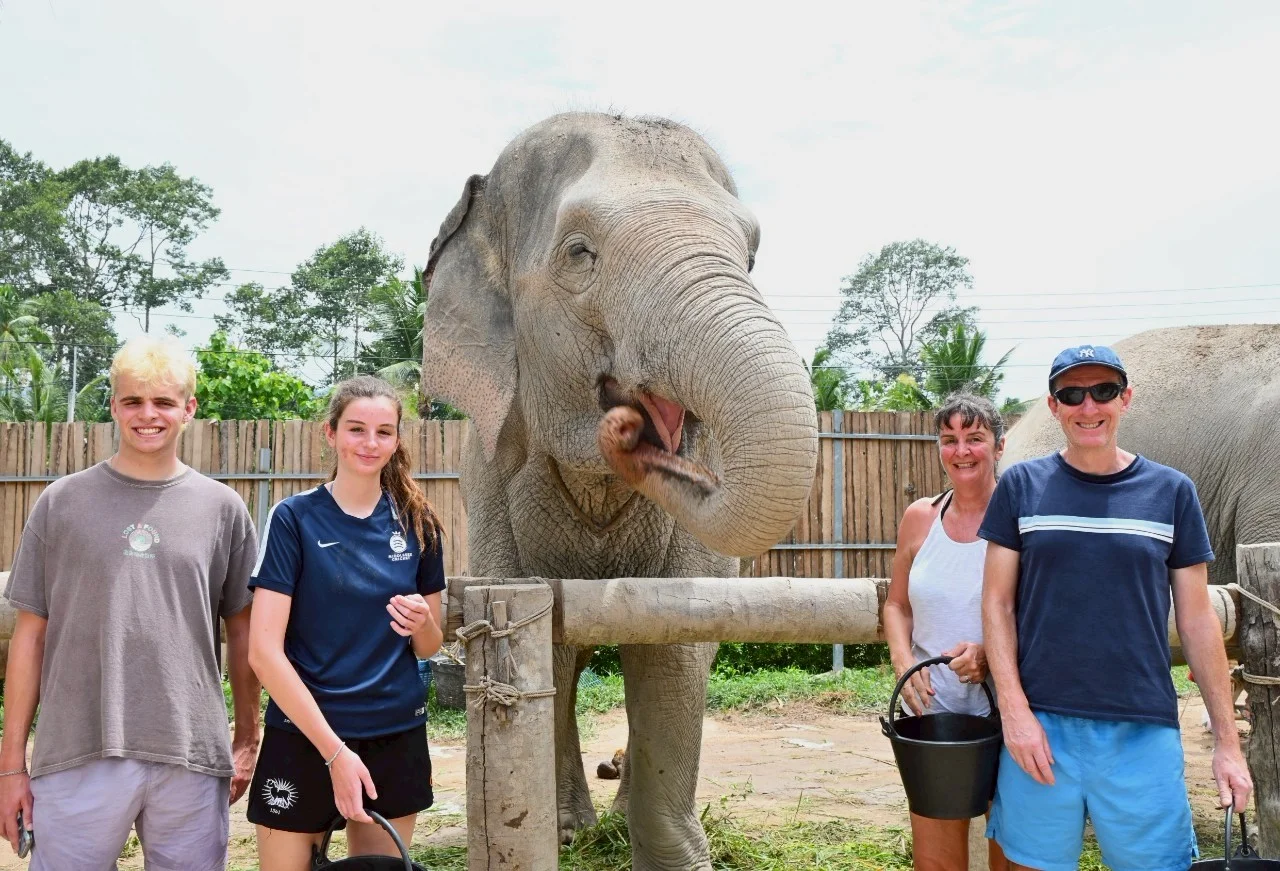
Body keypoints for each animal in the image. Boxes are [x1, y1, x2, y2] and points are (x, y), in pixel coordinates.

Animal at [420, 113, 819, 870]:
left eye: (751, 255)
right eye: (580, 254)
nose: (635, 427)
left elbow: (675, 638)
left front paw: (678, 858)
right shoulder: (488, 476)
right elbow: (541, 636)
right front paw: (557, 834)